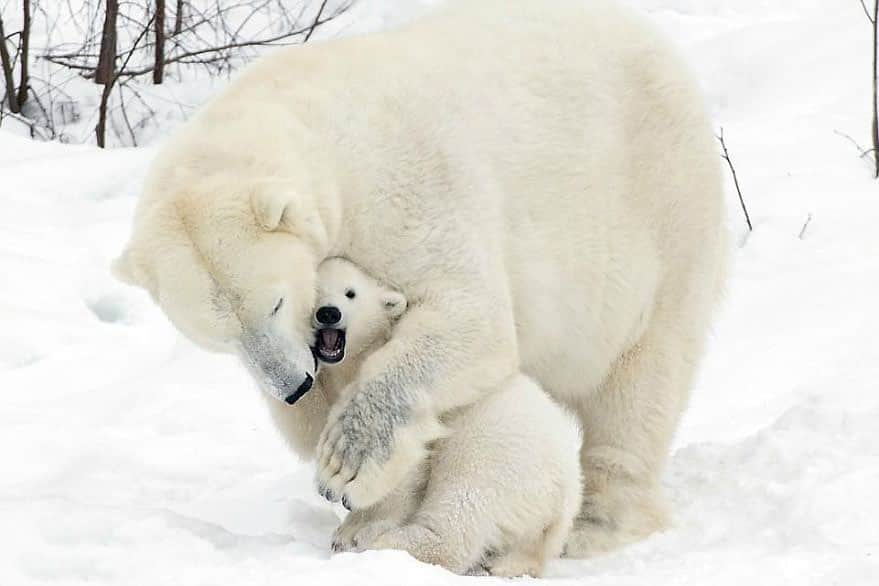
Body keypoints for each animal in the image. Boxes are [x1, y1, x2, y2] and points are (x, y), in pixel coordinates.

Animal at [282, 256, 584, 576]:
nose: (329, 313)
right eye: (314, 291)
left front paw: (359, 532)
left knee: (460, 508)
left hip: (496, 453)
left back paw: (392, 544)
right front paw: (346, 527)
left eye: (350, 293)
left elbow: (400, 471)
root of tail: (563, 496)